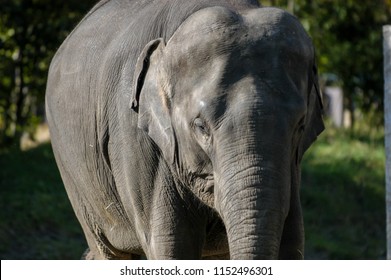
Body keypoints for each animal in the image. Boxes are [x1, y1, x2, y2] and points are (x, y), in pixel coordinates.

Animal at [45, 0, 324, 260]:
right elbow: (173, 245)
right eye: (201, 127)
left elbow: (292, 241)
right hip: (75, 178)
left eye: (300, 125)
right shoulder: (136, 140)